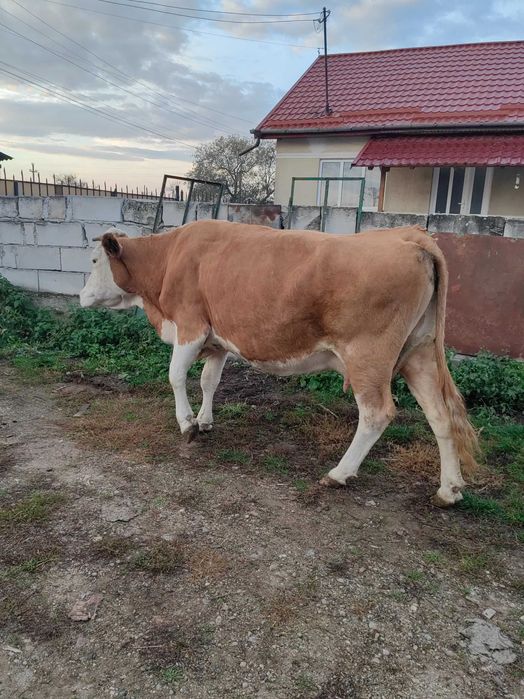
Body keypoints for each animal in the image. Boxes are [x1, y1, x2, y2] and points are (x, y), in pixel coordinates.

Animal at [79, 220, 478, 507]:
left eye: (95, 261)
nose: (81, 296)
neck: (168, 258)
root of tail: (410, 236)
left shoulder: (191, 325)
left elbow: (176, 376)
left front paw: (187, 424)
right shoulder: (218, 338)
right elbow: (210, 381)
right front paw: (205, 421)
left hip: (369, 356)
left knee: (377, 413)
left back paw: (339, 473)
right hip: (419, 353)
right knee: (440, 415)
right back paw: (449, 490)